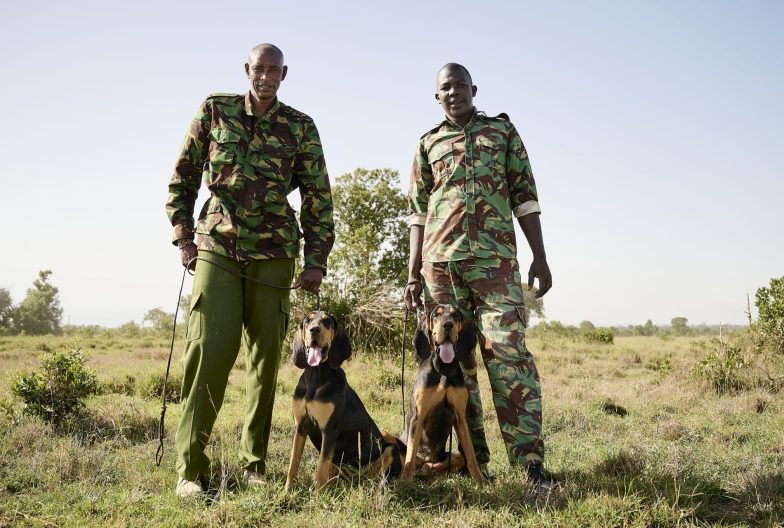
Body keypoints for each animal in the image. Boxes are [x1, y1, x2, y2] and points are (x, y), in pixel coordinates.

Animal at [284, 310, 402, 490]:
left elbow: (320, 469)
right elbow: (293, 463)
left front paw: (317, 494)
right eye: (308, 321)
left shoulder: (329, 430)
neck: (316, 376)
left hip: (390, 448)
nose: (314, 330)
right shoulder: (300, 426)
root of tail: (355, 477)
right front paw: (287, 490)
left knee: (381, 475)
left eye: (327, 321)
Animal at [402, 306, 486, 482]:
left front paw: (480, 479)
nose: (448, 325)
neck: (444, 368)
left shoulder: (461, 417)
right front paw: (405, 481)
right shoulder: (418, 416)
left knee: (448, 463)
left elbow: (471, 456)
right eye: (436, 315)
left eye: (455, 315)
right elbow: (410, 457)